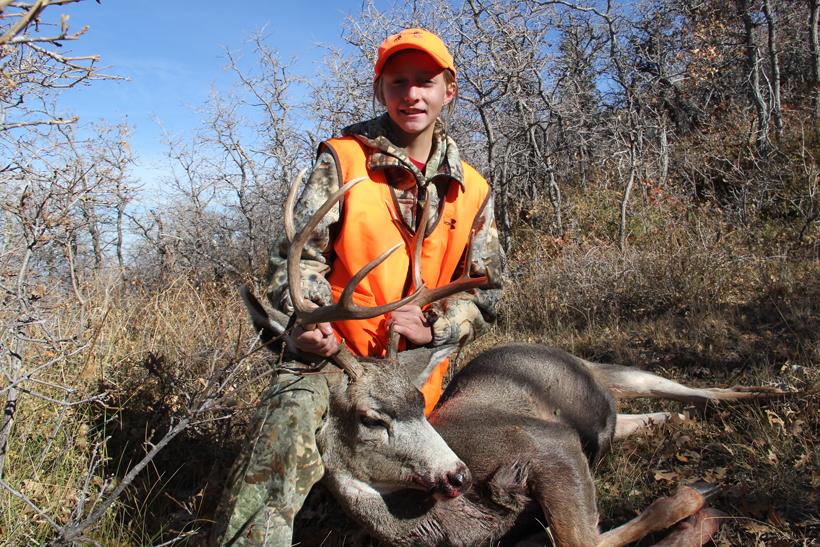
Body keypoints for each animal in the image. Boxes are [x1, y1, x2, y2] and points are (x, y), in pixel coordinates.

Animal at [239, 172, 785, 546]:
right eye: (372, 418)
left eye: (420, 403)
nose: (458, 475)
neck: (451, 525)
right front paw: (700, 502)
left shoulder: (548, 444)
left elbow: (584, 539)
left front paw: (700, 497)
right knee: (663, 413)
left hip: (604, 370)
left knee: (699, 390)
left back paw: (775, 389)